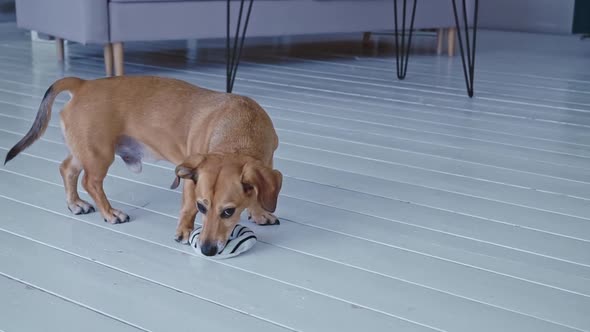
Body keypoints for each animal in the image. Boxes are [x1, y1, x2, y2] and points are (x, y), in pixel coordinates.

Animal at [4, 76, 282, 256]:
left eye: (228, 212)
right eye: (203, 207)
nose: (207, 250)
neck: (239, 128)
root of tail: (83, 83)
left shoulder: (265, 163)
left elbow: (258, 194)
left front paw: (259, 213)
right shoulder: (191, 180)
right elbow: (187, 208)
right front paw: (183, 231)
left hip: (84, 151)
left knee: (67, 169)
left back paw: (75, 204)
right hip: (99, 154)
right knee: (90, 182)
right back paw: (110, 213)